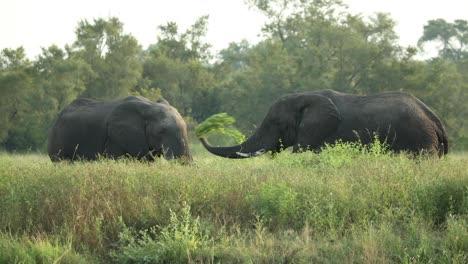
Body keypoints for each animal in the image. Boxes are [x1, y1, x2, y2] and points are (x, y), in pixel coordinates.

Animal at [199, 89, 448, 158]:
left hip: (420, 139)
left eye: (275, 123)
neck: (304, 96)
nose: (201, 133)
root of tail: (435, 120)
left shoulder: (321, 133)